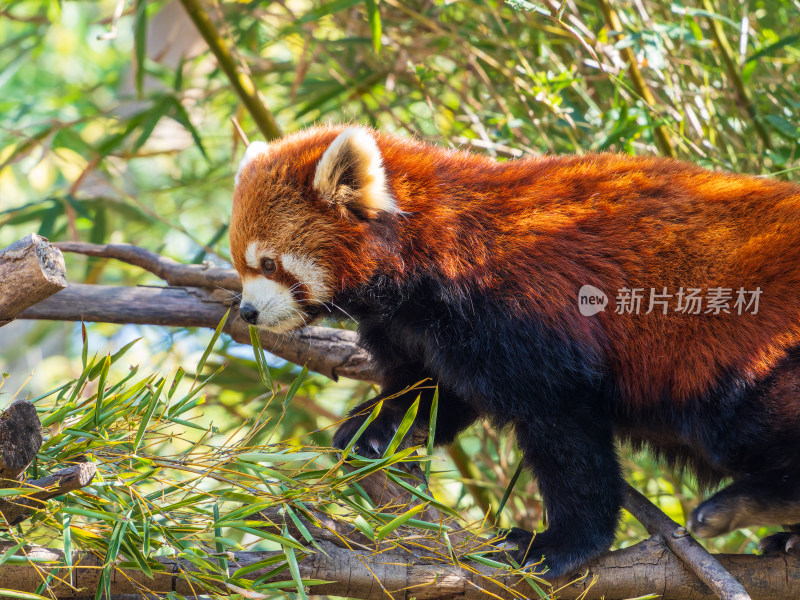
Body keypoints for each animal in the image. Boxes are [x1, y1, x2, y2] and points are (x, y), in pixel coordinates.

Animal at [228, 125, 800, 576]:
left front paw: (560, 545)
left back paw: (748, 505)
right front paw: (375, 427)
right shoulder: (428, 333)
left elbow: (563, 430)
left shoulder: (521, 313)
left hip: (743, 350)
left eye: (270, 263)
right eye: (241, 264)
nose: (248, 312)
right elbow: (435, 390)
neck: (425, 257)